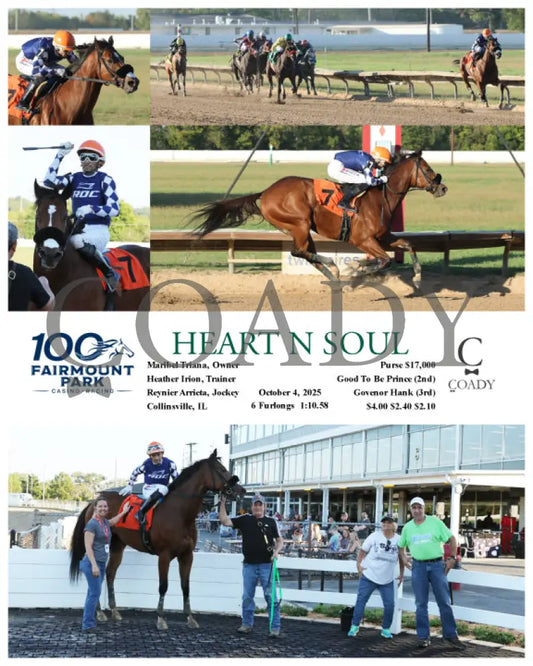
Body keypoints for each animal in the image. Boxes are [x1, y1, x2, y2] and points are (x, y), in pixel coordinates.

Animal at [69, 450, 245, 630]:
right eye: (221, 469)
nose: (241, 489)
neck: (180, 514)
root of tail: (93, 501)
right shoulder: (164, 555)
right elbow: (163, 586)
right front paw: (160, 618)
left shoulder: (187, 555)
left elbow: (185, 586)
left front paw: (190, 617)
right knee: (97, 572)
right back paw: (99, 611)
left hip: (117, 545)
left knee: (110, 574)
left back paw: (114, 610)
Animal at [192, 151, 447, 288]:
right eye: (427, 168)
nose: (442, 187)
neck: (379, 197)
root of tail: (266, 192)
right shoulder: (364, 240)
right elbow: (383, 260)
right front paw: (356, 269)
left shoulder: (383, 237)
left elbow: (409, 245)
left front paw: (417, 278)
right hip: (299, 223)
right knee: (299, 251)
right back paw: (334, 268)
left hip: (302, 229)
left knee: (306, 253)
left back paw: (333, 276)